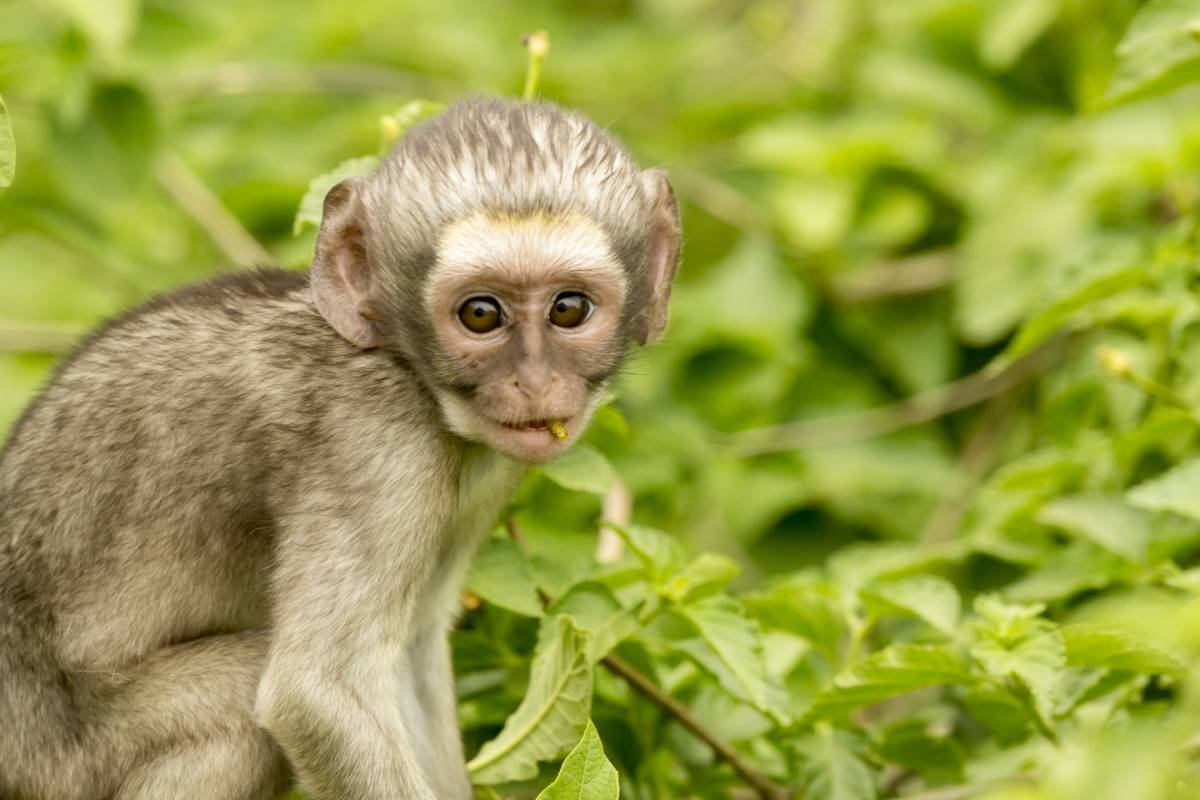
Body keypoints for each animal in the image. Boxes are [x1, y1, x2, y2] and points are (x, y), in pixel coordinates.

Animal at [0, 98, 680, 800]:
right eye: (481, 315)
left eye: (569, 309)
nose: (537, 382)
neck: (407, 368)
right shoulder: (377, 440)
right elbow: (316, 693)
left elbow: (412, 649)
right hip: (59, 759)